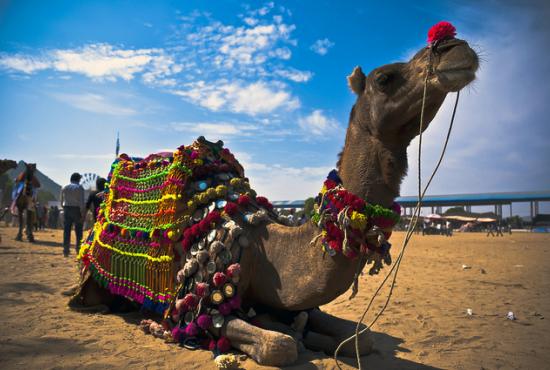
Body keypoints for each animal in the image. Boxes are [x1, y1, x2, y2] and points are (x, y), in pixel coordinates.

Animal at [72, 34, 478, 368]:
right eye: (385, 78)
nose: (454, 46)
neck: (267, 248)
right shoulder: (196, 306)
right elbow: (279, 346)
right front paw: (288, 335)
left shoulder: (296, 300)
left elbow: (362, 337)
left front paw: (304, 330)